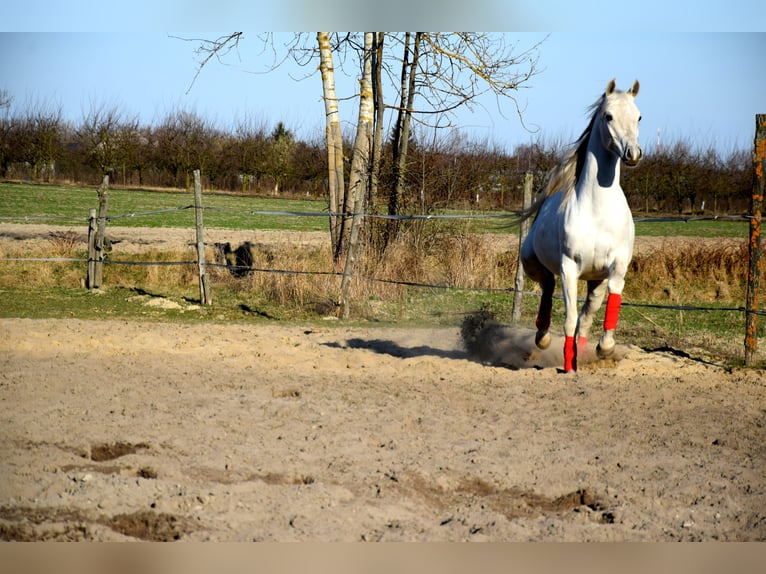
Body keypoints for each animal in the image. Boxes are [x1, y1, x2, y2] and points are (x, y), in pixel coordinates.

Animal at [520, 78, 642, 372]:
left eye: (639, 116)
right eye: (609, 116)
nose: (633, 154)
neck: (598, 211)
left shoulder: (617, 267)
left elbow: (603, 308)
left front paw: (604, 349)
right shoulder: (569, 268)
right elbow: (569, 319)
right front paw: (568, 365)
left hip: (595, 281)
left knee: (585, 318)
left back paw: (583, 353)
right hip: (532, 264)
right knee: (548, 289)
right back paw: (543, 339)